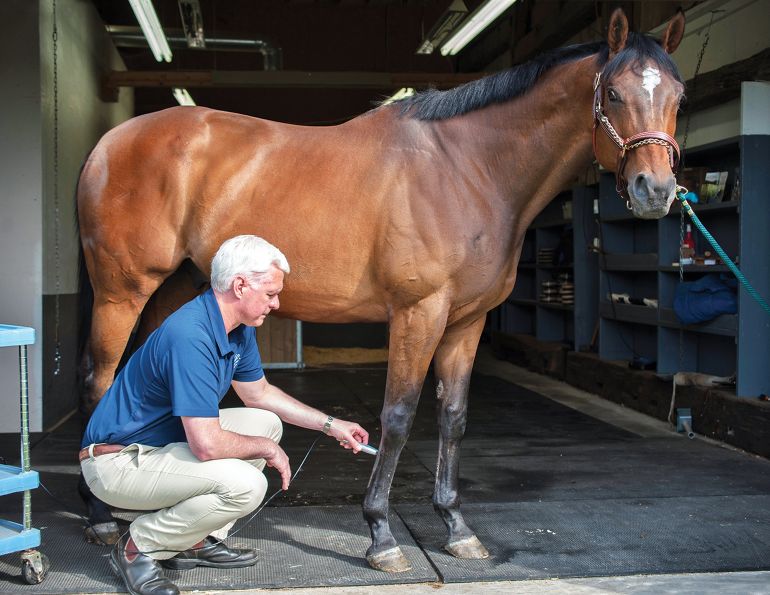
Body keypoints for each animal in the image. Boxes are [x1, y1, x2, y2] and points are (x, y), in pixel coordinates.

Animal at [77, 8, 685, 572]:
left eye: (677, 95)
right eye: (613, 92)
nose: (655, 190)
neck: (469, 169)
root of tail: (107, 143)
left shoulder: (467, 321)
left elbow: (453, 416)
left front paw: (456, 526)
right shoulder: (419, 313)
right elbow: (397, 417)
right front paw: (380, 534)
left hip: (176, 287)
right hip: (122, 292)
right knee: (100, 382)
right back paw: (100, 518)